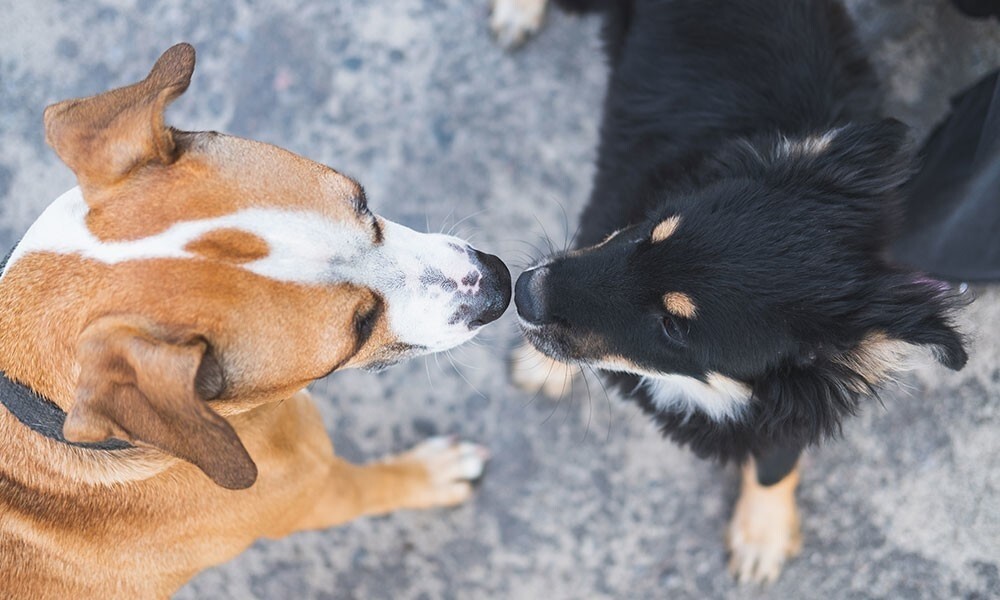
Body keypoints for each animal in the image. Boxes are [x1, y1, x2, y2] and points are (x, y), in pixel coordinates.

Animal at [0, 44, 512, 596]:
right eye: (359, 328)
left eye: (363, 203)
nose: (501, 284)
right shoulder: (319, 491)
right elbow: (377, 485)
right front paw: (433, 474)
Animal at [508, 0, 968, 584]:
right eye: (649, 231)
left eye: (674, 327)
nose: (523, 291)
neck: (701, 389)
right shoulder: (603, 216)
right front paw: (542, 367)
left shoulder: (792, 401)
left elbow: (774, 461)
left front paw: (761, 534)